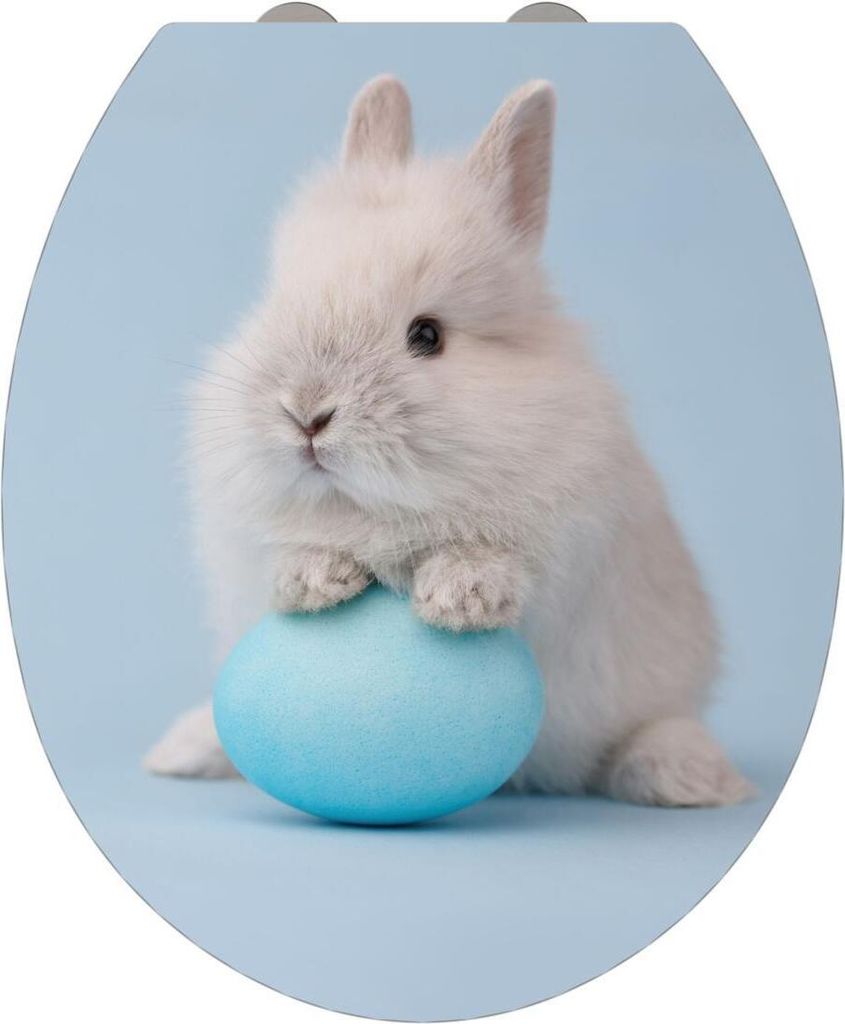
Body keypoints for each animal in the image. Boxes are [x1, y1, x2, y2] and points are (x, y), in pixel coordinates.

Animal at [144, 75, 753, 807]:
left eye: (427, 336)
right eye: (279, 303)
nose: (306, 414)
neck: (373, 511)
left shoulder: (567, 546)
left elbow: (501, 564)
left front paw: (457, 599)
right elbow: (287, 555)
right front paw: (316, 579)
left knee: (641, 733)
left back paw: (694, 776)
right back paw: (179, 750)